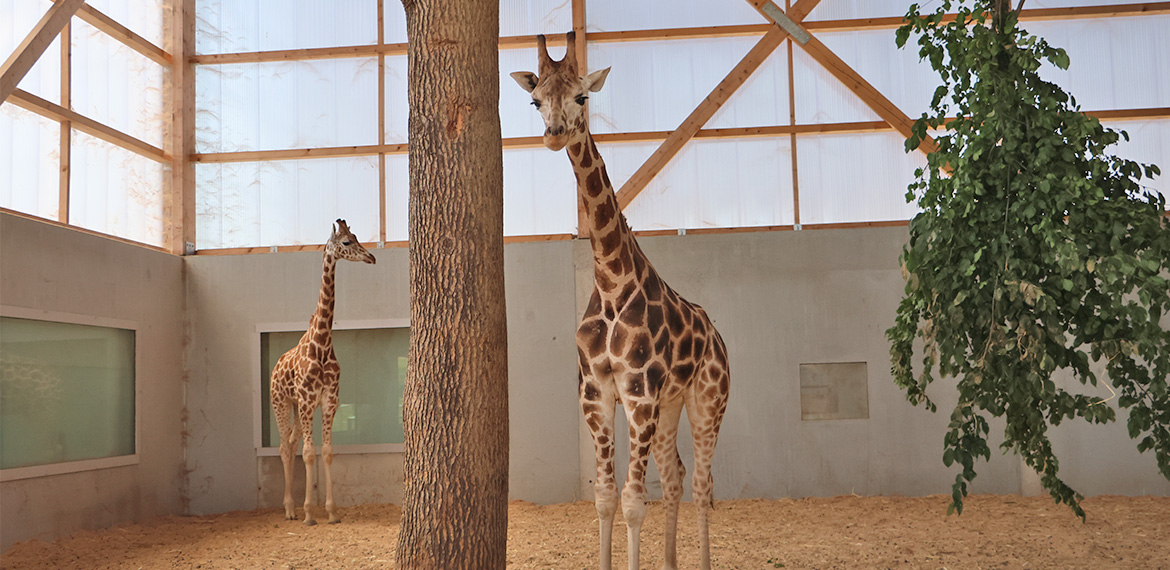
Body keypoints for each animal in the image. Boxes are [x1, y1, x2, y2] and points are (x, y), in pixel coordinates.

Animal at [270, 219, 376, 525]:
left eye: (356, 237)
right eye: (347, 242)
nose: (371, 257)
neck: (322, 343)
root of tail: (275, 367)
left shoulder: (329, 400)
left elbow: (326, 452)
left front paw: (331, 511)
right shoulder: (307, 401)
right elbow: (309, 453)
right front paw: (308, 513)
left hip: (295, 406)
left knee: (292, 442)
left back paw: (291, 507)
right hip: (281, 402)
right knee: (285, 447)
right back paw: (290, 509)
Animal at [511, 32, 731, 570]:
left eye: (581, 97)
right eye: (536, 99)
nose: (554, 133)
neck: (611, 283)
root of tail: (718, 338)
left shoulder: (638, 390)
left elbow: (633, 501)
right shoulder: (596, 391)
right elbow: (606, 497)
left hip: (708, 400)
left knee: (702, 482)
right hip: (672, 404)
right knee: (675, 476)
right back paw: (672, 562)